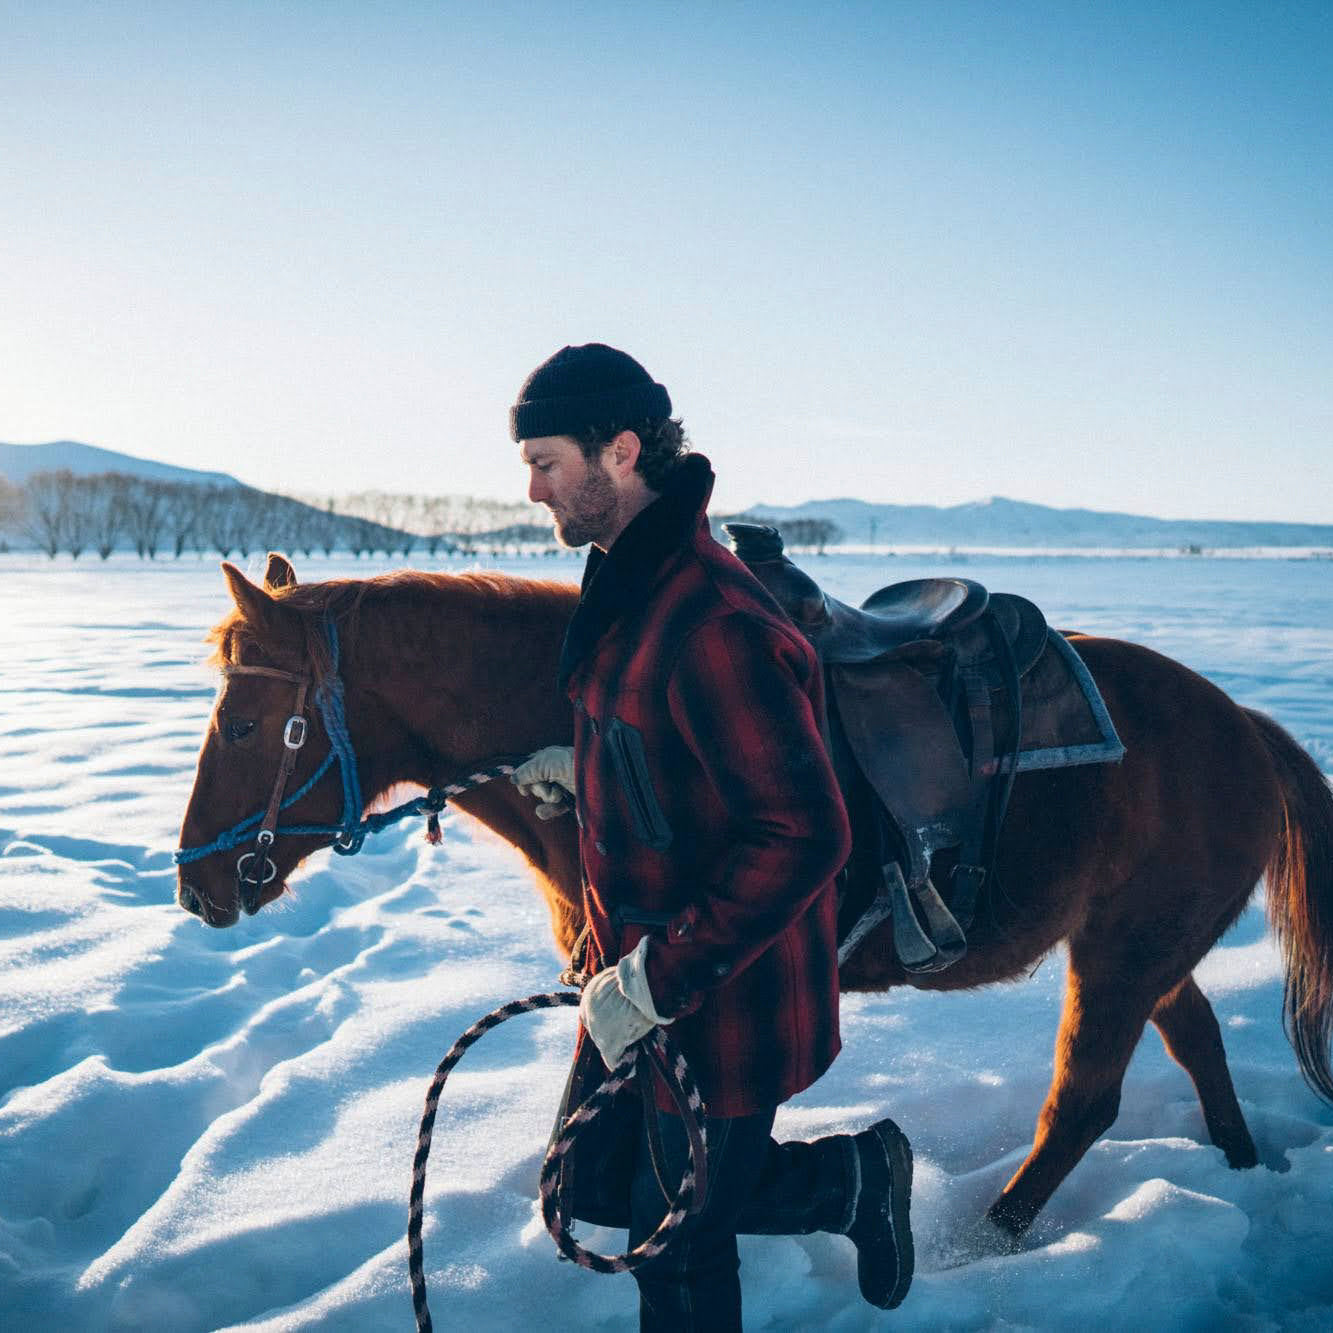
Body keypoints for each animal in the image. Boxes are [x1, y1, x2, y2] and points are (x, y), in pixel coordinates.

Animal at [177, 551, 1333, 1237]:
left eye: (245, 723)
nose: (195, 885)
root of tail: (1243, 726)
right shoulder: (607, 982)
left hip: (1121, 955)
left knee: (1081, 1102)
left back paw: (982, 1240)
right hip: (1140, 949)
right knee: (1197, 1044)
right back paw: (1240, 1169)